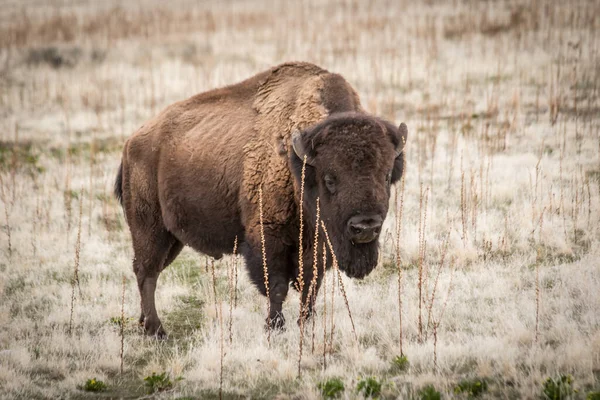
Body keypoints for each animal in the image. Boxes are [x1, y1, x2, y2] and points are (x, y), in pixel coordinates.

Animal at [113, 61, 408, 338]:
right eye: (330, 179)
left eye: (386, 176)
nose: (365, 227)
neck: (299, 163)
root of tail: (131, 143)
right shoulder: (268, 236)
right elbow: (275, 287)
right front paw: (274, 327)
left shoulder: (318, 244)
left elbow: (310, 285)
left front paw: (306, 325)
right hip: (149, 229)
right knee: (146, 272)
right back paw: (156, 330)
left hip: (172, 238)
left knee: (149, 272)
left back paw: (145, 324)